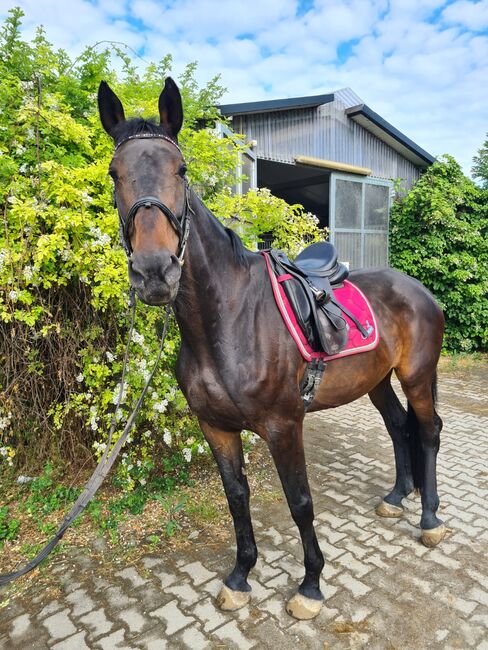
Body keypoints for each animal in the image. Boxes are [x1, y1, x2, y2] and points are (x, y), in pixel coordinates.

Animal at [98, 79, 446, 616]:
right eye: (115, 173)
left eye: (181, 170)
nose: (155, 272)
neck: (228, 319)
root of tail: (418, 290)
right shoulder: (216, 428)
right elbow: (236, 498)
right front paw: (241, 575)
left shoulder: (284, 426)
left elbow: (300, 502)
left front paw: (311, 585)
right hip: (377, 381)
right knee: (398, 426)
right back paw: (395, 498)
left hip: (418, 376)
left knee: (427, 431)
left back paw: (428, 521)